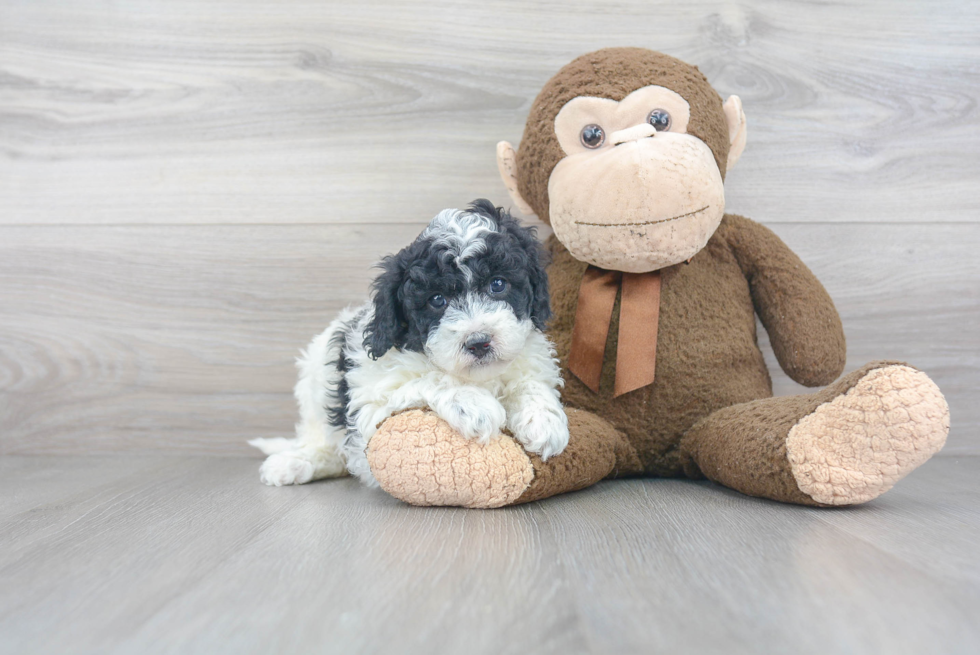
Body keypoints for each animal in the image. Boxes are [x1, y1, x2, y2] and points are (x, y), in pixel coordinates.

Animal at [251, 200, 568, 486]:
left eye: (498, 284)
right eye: (437, 300)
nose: (478, 343)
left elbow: (530, 382)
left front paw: (544, 421)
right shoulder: (369, 407)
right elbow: (429, 378)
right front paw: (473, 404)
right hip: (314, 398)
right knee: (323, 445)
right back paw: (292, 463)